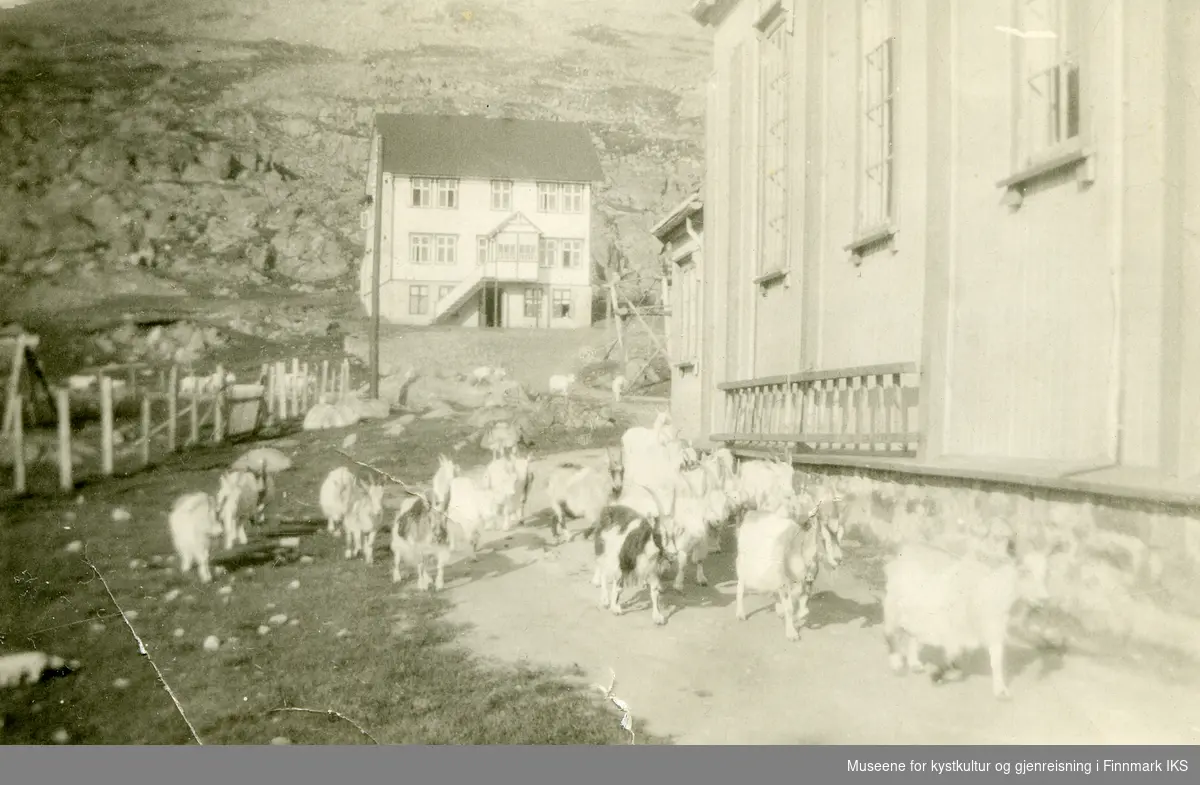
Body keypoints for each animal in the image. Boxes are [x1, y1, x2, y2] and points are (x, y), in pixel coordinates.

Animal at [729, 501, 825, 643]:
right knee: (740, 587)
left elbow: (804, 610)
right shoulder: (784, 582)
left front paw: (792, 617)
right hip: (744, 564)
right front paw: (792, 634)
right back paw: (740, 614)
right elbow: (789, 608)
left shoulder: (807, 583)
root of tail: (750, 514)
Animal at [883, 535, 1060, 700]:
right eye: (1023, 571)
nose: (1044, 599)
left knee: (912, 635)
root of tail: (905, 549)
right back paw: (896, 663)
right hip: (893, 603)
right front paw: (938, 676)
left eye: (1046, 572)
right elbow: (954, 653)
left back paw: (914, 664)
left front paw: (1001, 691)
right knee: (890, 631)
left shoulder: (994, 629)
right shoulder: (956, 626)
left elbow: (995, 660)